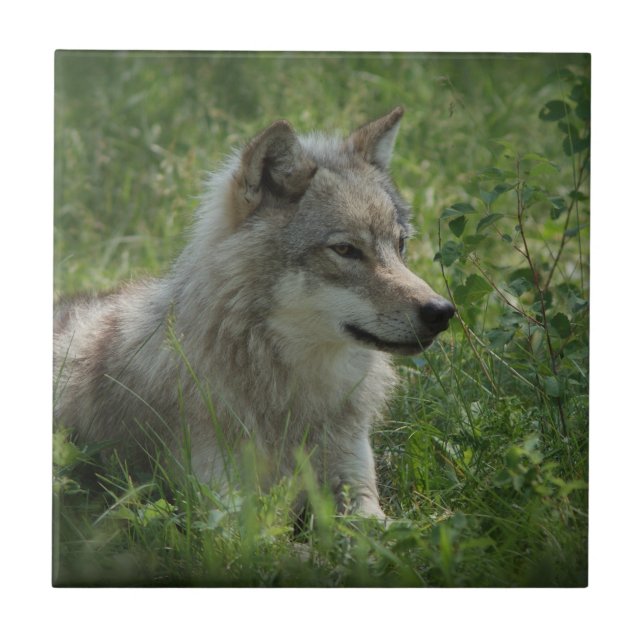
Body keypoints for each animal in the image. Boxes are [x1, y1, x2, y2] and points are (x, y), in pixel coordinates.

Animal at [54, 107, 455, 519]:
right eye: (345, 250)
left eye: (400, 245)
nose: (442, 312)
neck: (292, 393)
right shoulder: (226, 509)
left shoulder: (357, 488)